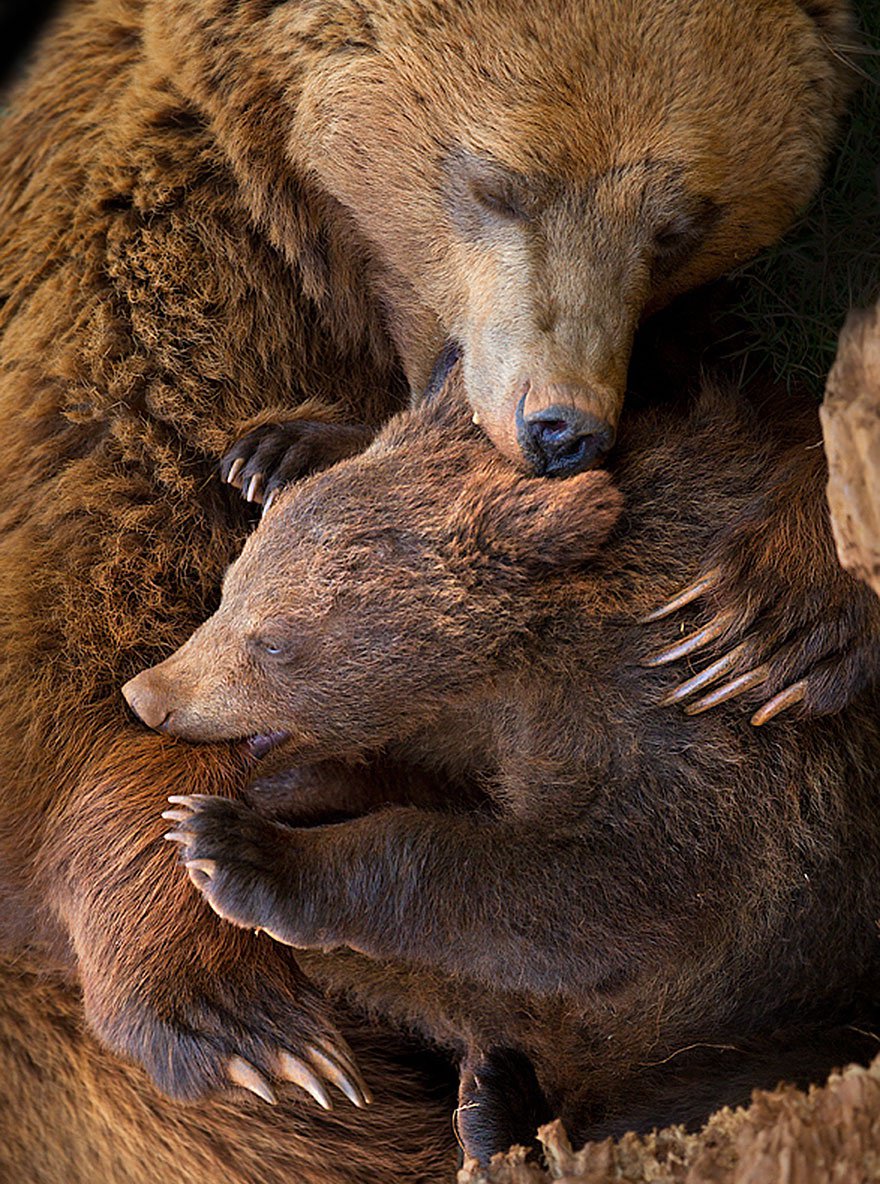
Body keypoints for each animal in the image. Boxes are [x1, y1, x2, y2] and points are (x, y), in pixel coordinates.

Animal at [1, 0, 876, 1141]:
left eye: (678, 227)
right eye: (495, 184)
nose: (561, 427)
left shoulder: (693, 748)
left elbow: (597, 890)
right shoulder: (154, 274)